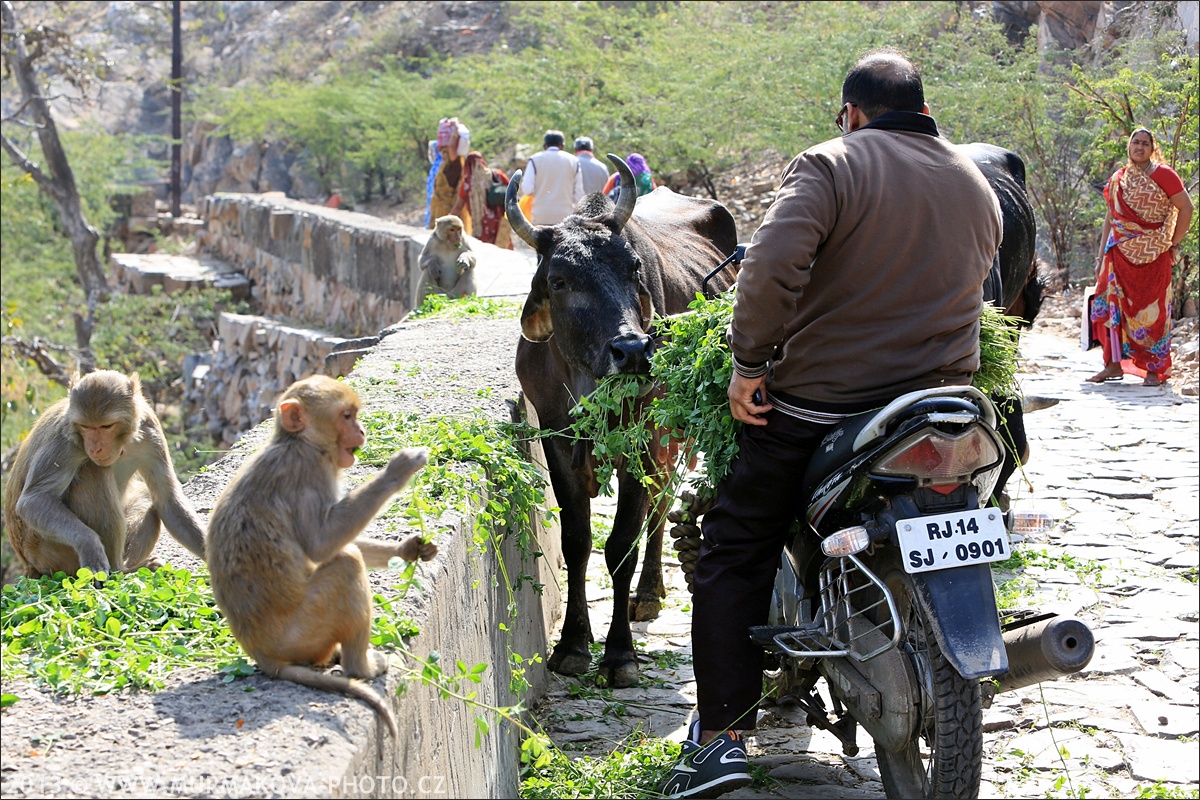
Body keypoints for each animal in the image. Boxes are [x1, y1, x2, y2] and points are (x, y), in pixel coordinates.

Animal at [4, 369, 208, 575]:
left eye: (106, 426)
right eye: (85, 426)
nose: (95, 449)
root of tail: (29, 564)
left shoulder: (151, 433)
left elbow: (167, 499)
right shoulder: (64, 440)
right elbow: (33, 500)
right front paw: (89, 545)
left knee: (148, 501)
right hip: (49, 553)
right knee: (93, 471)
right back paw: (122, 570)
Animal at [206, 376, 436, 738]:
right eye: (346, 416)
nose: (362, 431)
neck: (302, 443)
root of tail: (260, 653)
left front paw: (410, 549)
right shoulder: (306, 473)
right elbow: (321, 544)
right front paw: (397, 472)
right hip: (302, 632)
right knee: (346, 565)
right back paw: (361, 666)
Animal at [501, 154, 734, 690]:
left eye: (633, 268)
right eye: (560, 280)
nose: (633, 351)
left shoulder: (643, 437)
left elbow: (621, 542)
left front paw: (619, 654)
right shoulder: (558, 436)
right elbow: (578, 542)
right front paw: (572, 644)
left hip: (671, 434)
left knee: (661, 504)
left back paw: (648, 593)